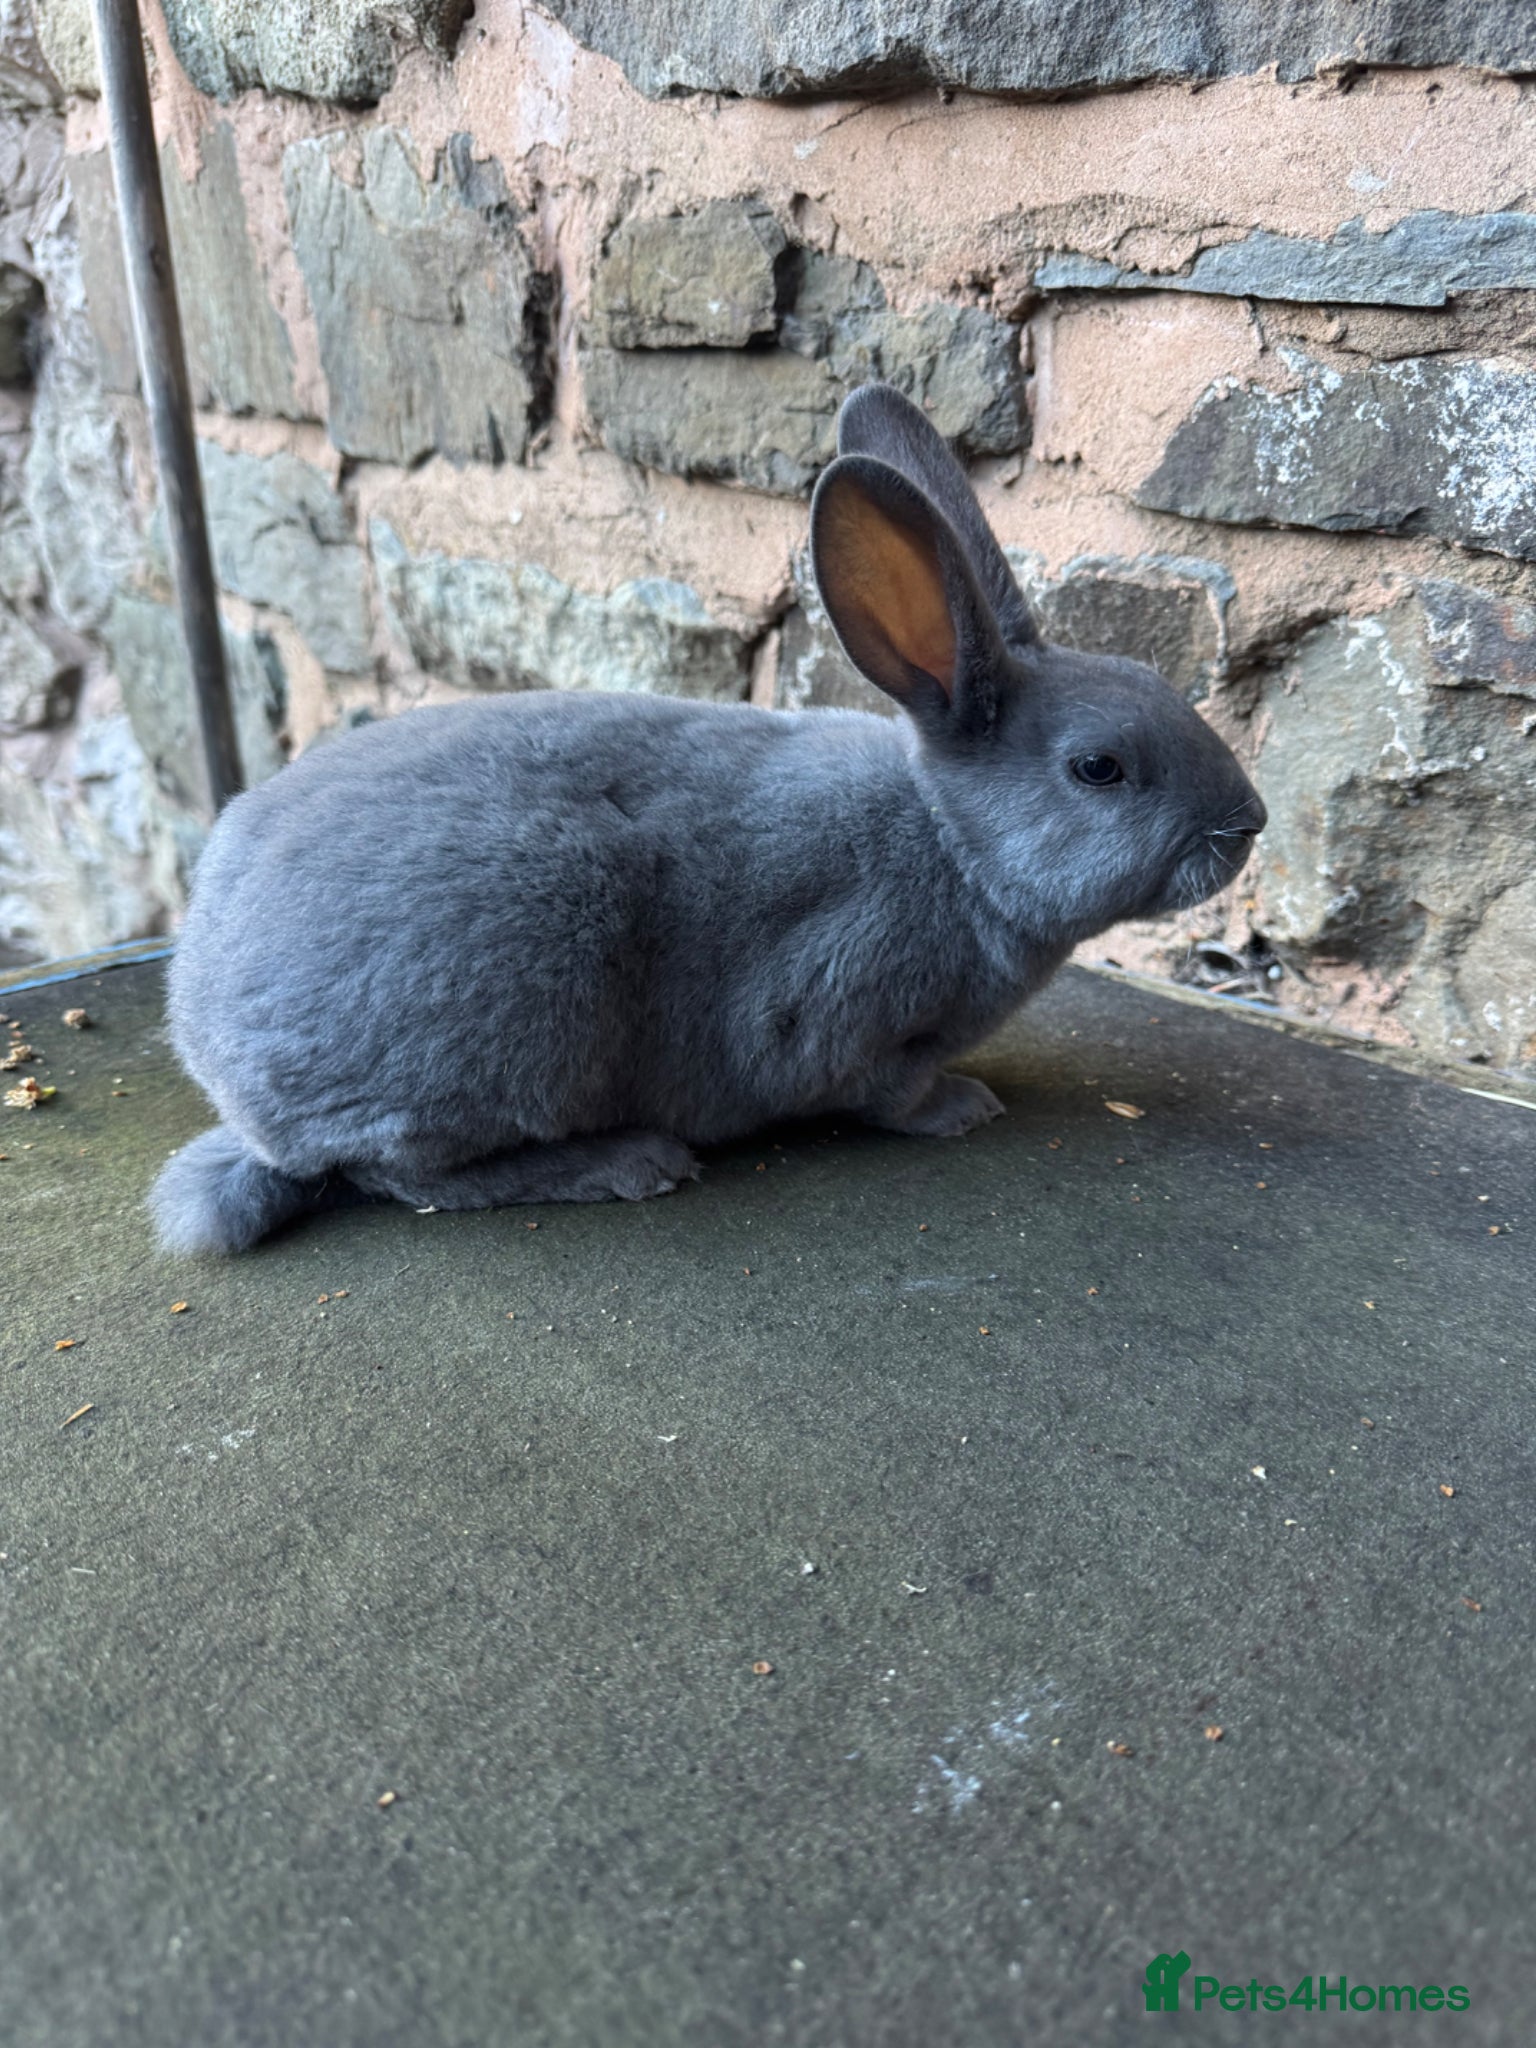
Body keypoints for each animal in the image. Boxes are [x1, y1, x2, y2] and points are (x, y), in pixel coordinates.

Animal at [152, 383, 1265, 1255]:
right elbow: (885, 1092)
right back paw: (629, 1163)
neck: (950, 845)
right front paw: (962, 1109)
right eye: (1100, 768)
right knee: (403, 1171)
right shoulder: (839, 1010)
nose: (1250, 821)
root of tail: (220, 1060)